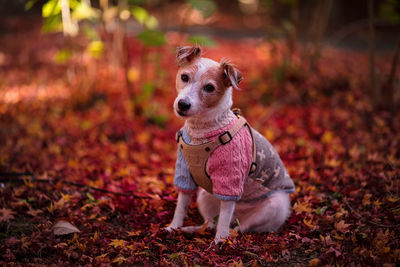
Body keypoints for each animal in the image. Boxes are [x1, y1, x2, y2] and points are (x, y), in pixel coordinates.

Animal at [165, 46, 294, 245]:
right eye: (184, 77)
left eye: (209, 87)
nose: (183, 104)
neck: (204, 131)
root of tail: (238, 215)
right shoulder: (185, 172)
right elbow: (181, 205)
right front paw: (174, 227)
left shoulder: (230, 179)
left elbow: (225, 216)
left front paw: (220, 241)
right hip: (205, 197)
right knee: (211, 223)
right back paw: (193, 229)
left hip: (273, 207)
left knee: (238, 227)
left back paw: (228, 237)